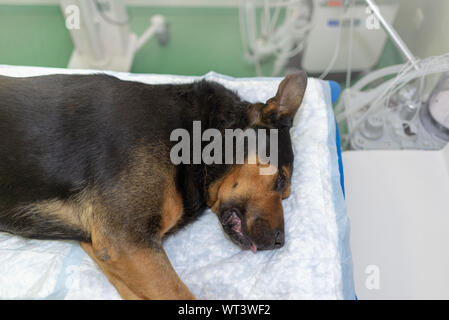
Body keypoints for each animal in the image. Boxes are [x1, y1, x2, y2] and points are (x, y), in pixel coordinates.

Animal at [0, 70, 304, 300]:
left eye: (286, 192)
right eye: (280, 179)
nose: (280, 242)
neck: (198, 137)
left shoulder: (108, 249)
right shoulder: (126, 240)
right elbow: (178, 293)